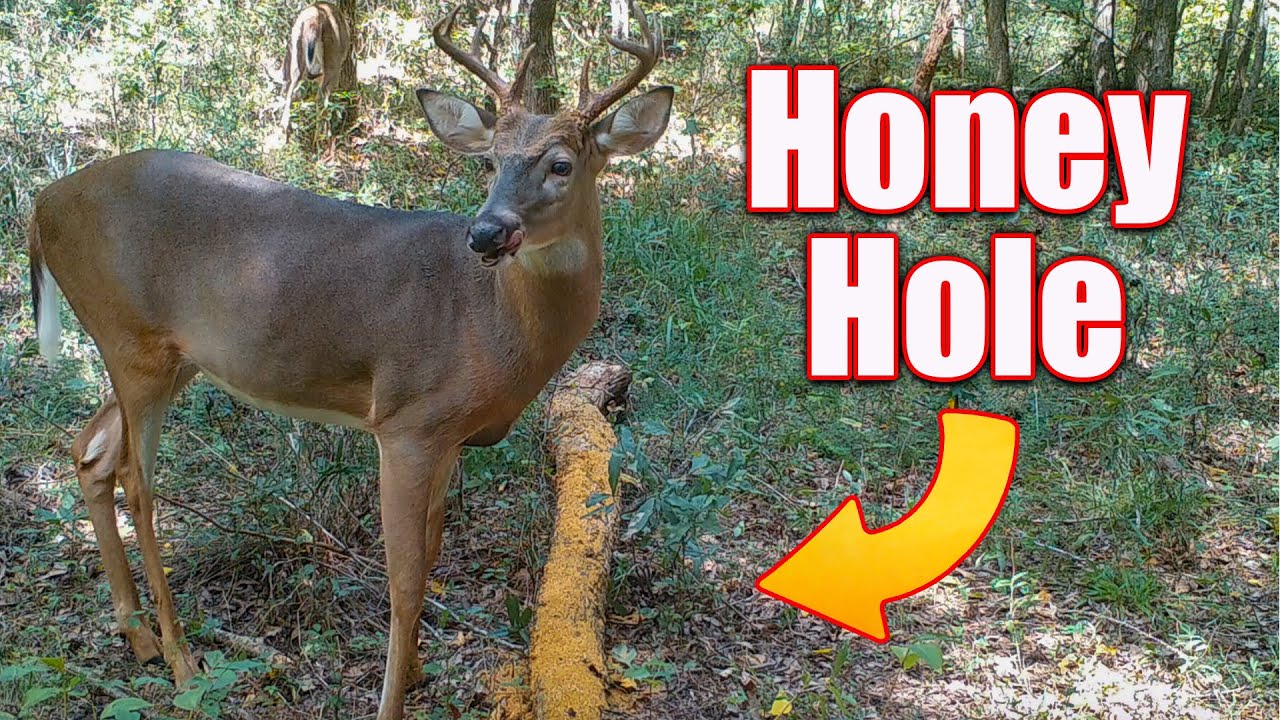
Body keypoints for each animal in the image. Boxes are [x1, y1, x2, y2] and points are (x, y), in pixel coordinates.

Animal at [280, 2, 352, 134]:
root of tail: (313, 19)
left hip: (296, 54)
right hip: (332, 61)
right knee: (321, 96)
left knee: (290, 91)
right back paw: (323, 132)